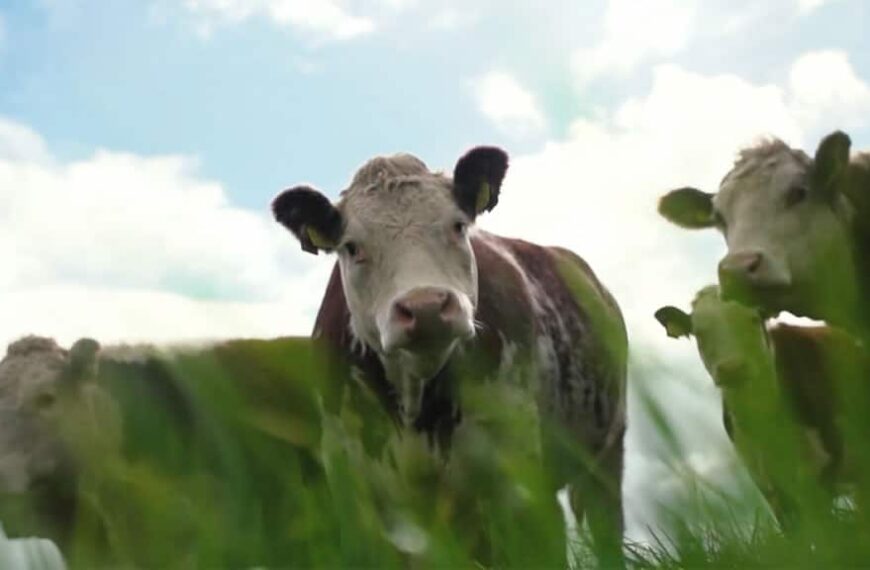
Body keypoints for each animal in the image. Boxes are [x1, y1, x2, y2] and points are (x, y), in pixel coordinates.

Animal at [270, 145, 628, 564]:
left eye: (458, 226)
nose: (424, 306)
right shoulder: (352, 481)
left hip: (606, 456)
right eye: (352, 247)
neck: (414, 406)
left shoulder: (517, 476)